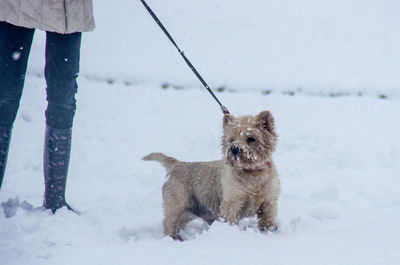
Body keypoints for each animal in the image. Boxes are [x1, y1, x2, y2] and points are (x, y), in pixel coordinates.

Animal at [142, 109, 280, 239]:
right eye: (231, 139)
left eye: (251, 139)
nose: (234, 149)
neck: (252, 173)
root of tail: (177, 164)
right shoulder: (232, 201)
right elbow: (230, 217)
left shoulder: (269, 202)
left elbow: (267, 219)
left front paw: (269, 231)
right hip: (177, 203)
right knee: (169, 222)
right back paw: (175, 237)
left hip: (188, 209)